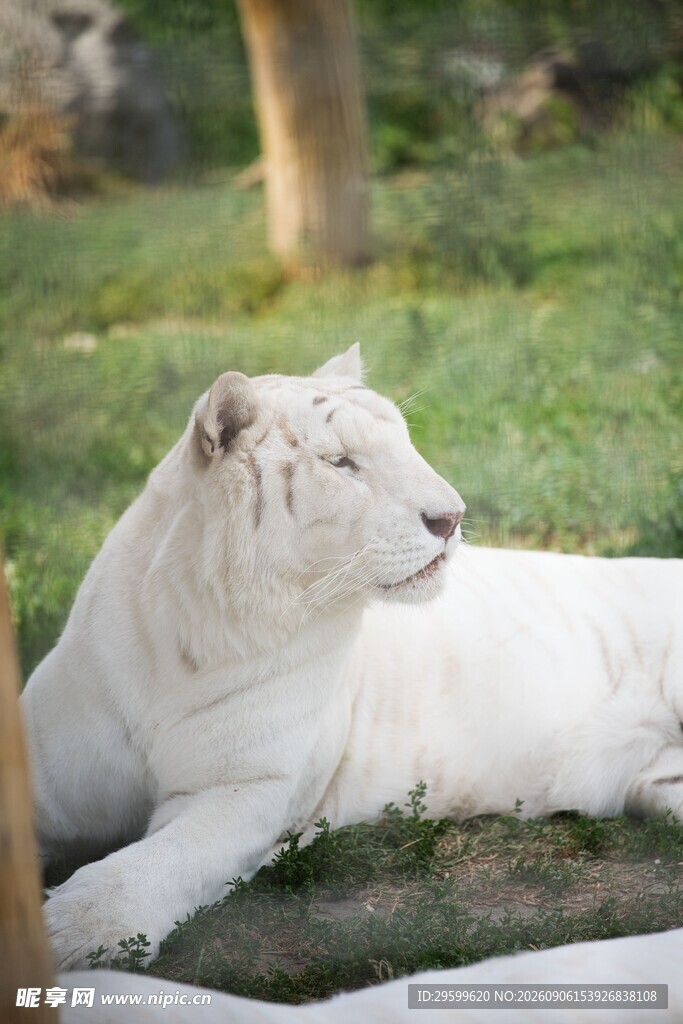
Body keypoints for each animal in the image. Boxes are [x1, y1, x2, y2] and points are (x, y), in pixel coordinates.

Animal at [20, 345, 683, 970]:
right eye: (342, 464)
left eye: (406, 445)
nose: (453, 517)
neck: (189, 634)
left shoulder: (249, 789)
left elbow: (162, 860)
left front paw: (73, 931)